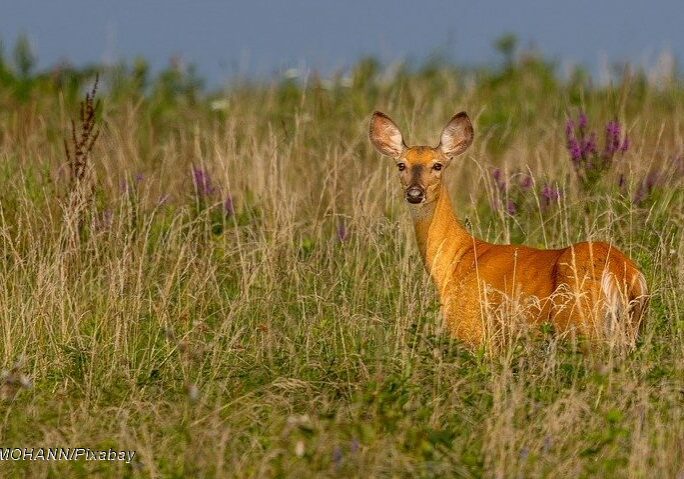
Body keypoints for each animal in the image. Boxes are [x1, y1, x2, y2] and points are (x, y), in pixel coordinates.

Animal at [372, 110, 648, 346]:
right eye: (401, 165)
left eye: (437, 165)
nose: (414, 193)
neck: (456, 261)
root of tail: (623, 272)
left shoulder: (473, 328)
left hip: (578, 322)